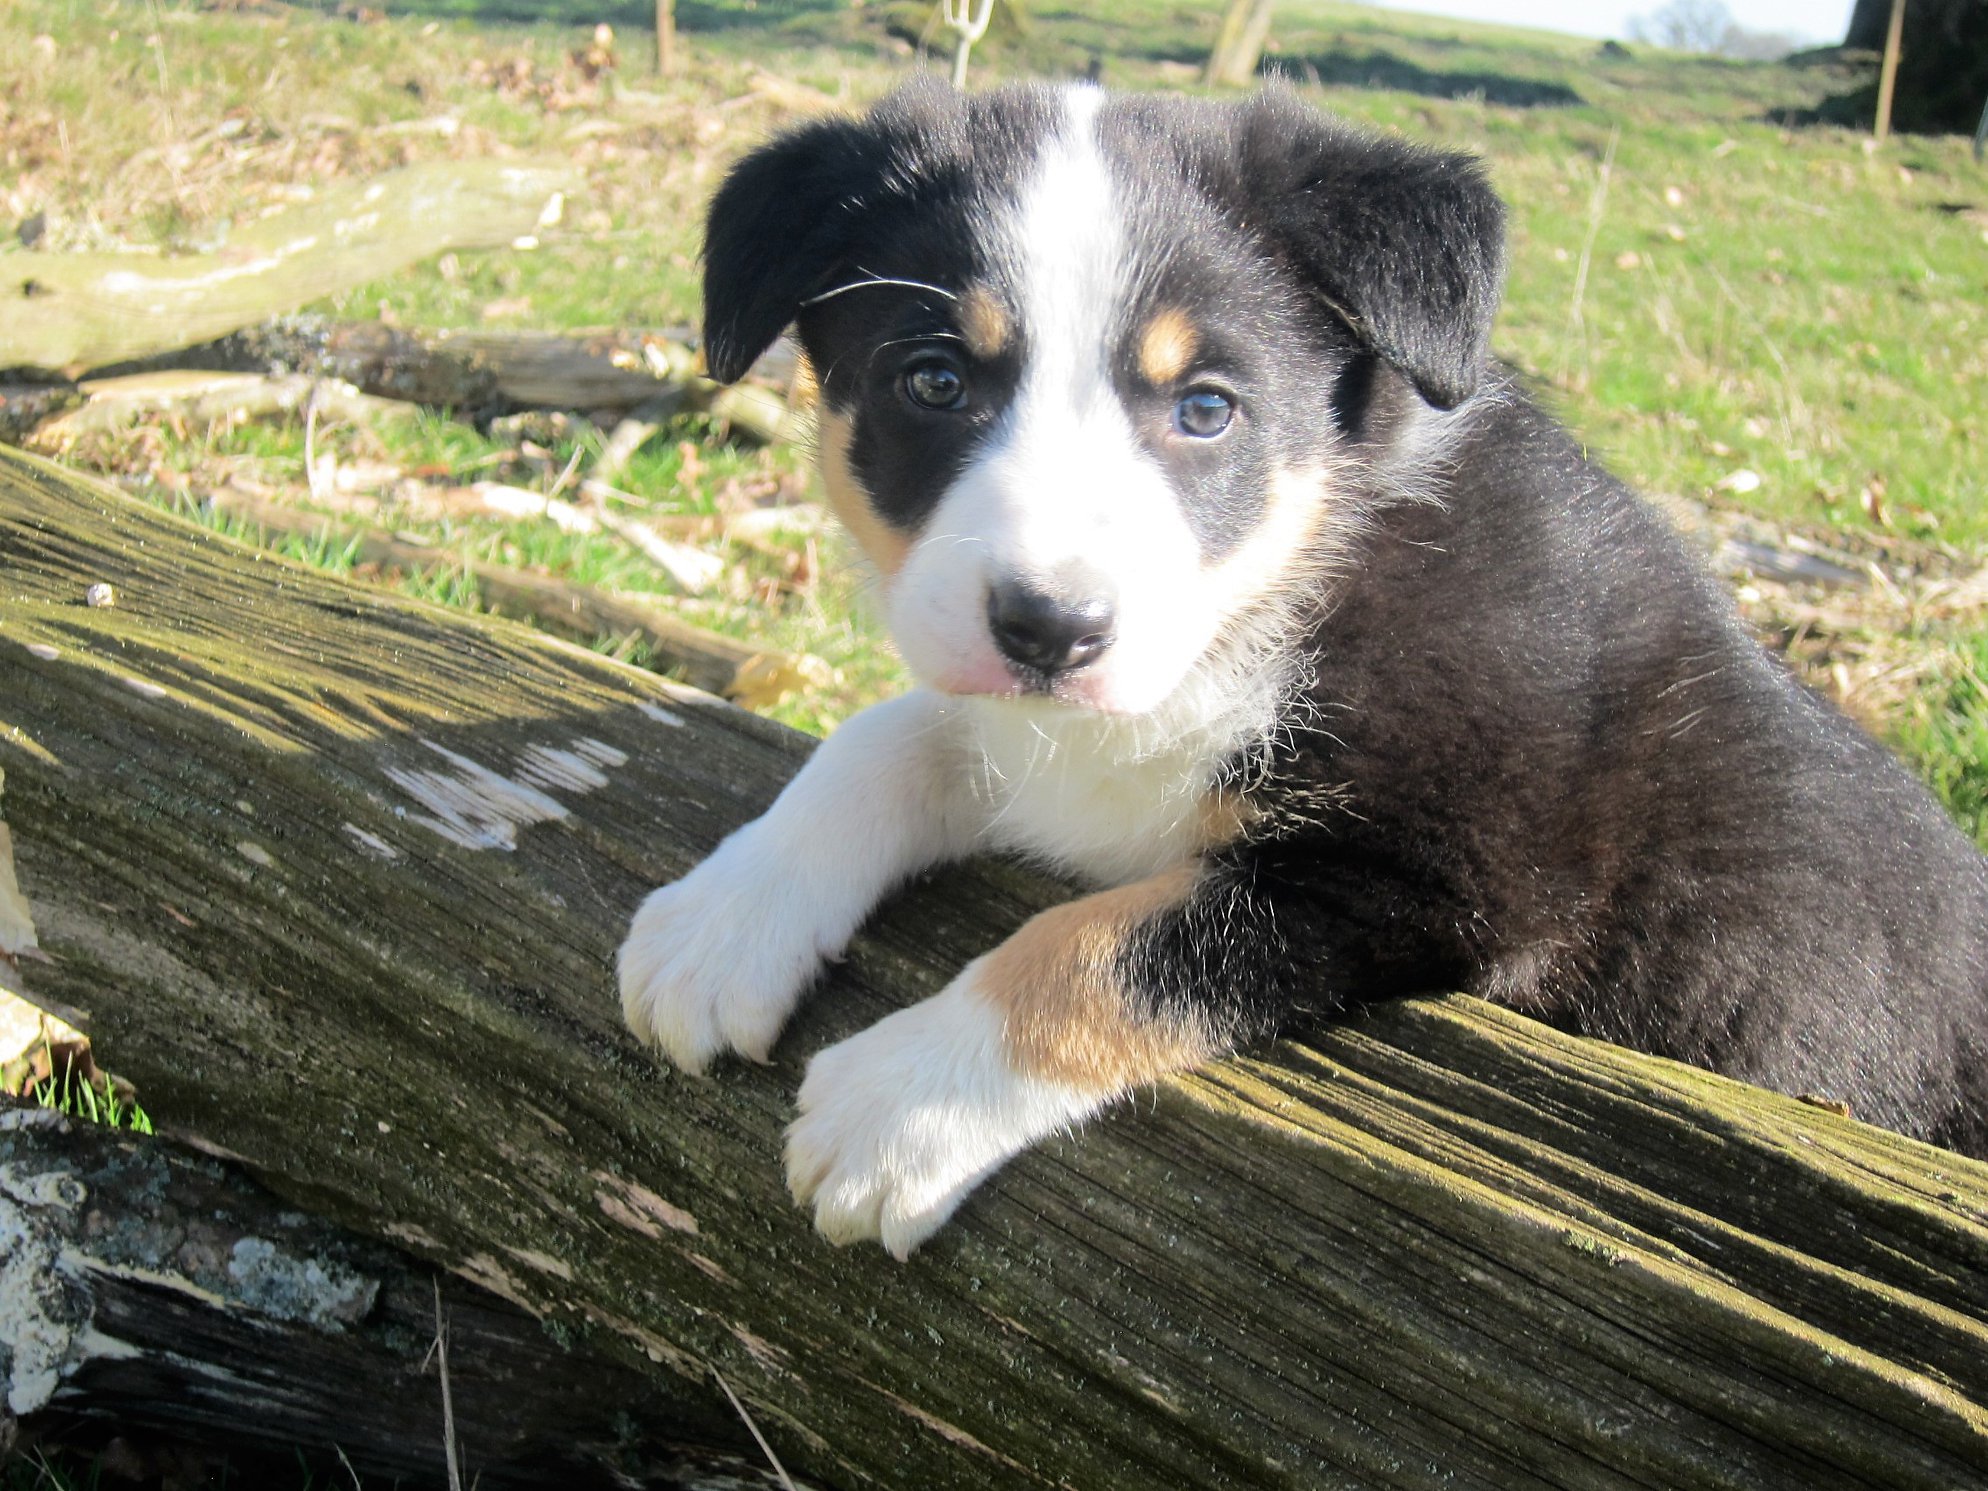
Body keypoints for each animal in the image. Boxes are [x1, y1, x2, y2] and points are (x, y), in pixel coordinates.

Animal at [618, 80, 1988, 1259]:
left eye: (1205, 409)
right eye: (934, 381)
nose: (1052, 630)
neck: (1270, 597)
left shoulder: (1442, 876)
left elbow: (1106, 941)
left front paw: (897, 1105)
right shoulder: (1030, 721)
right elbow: (892, 735)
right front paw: (721, 924)